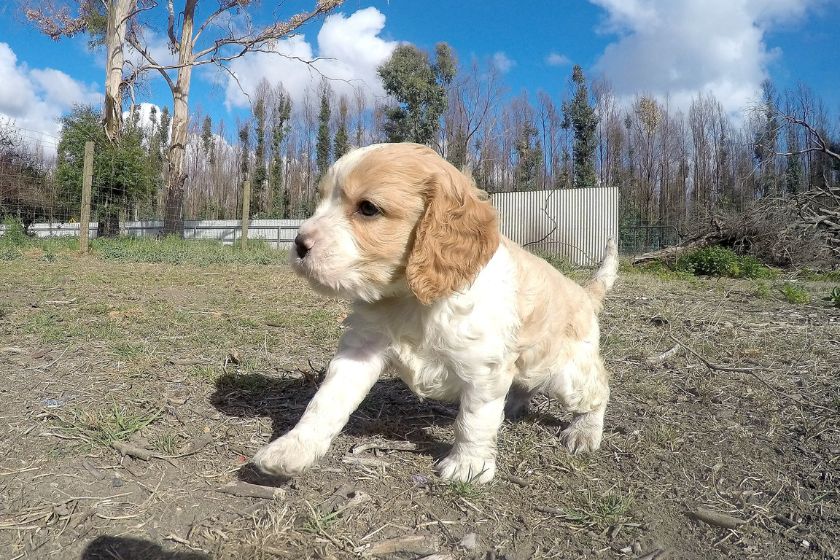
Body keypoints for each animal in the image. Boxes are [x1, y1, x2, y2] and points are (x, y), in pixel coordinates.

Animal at [251, 142, 616, 484]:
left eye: (368, 208)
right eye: (321, 199)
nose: (299, 243)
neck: (412, 300)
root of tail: (585, 293)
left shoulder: (484, 369)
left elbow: (473, 421)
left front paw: (468, 465)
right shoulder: (360, 350)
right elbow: (326, 401)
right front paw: (292, 448)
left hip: (566, 373)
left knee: (598, 391)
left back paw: (584, 432)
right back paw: (513, 406)